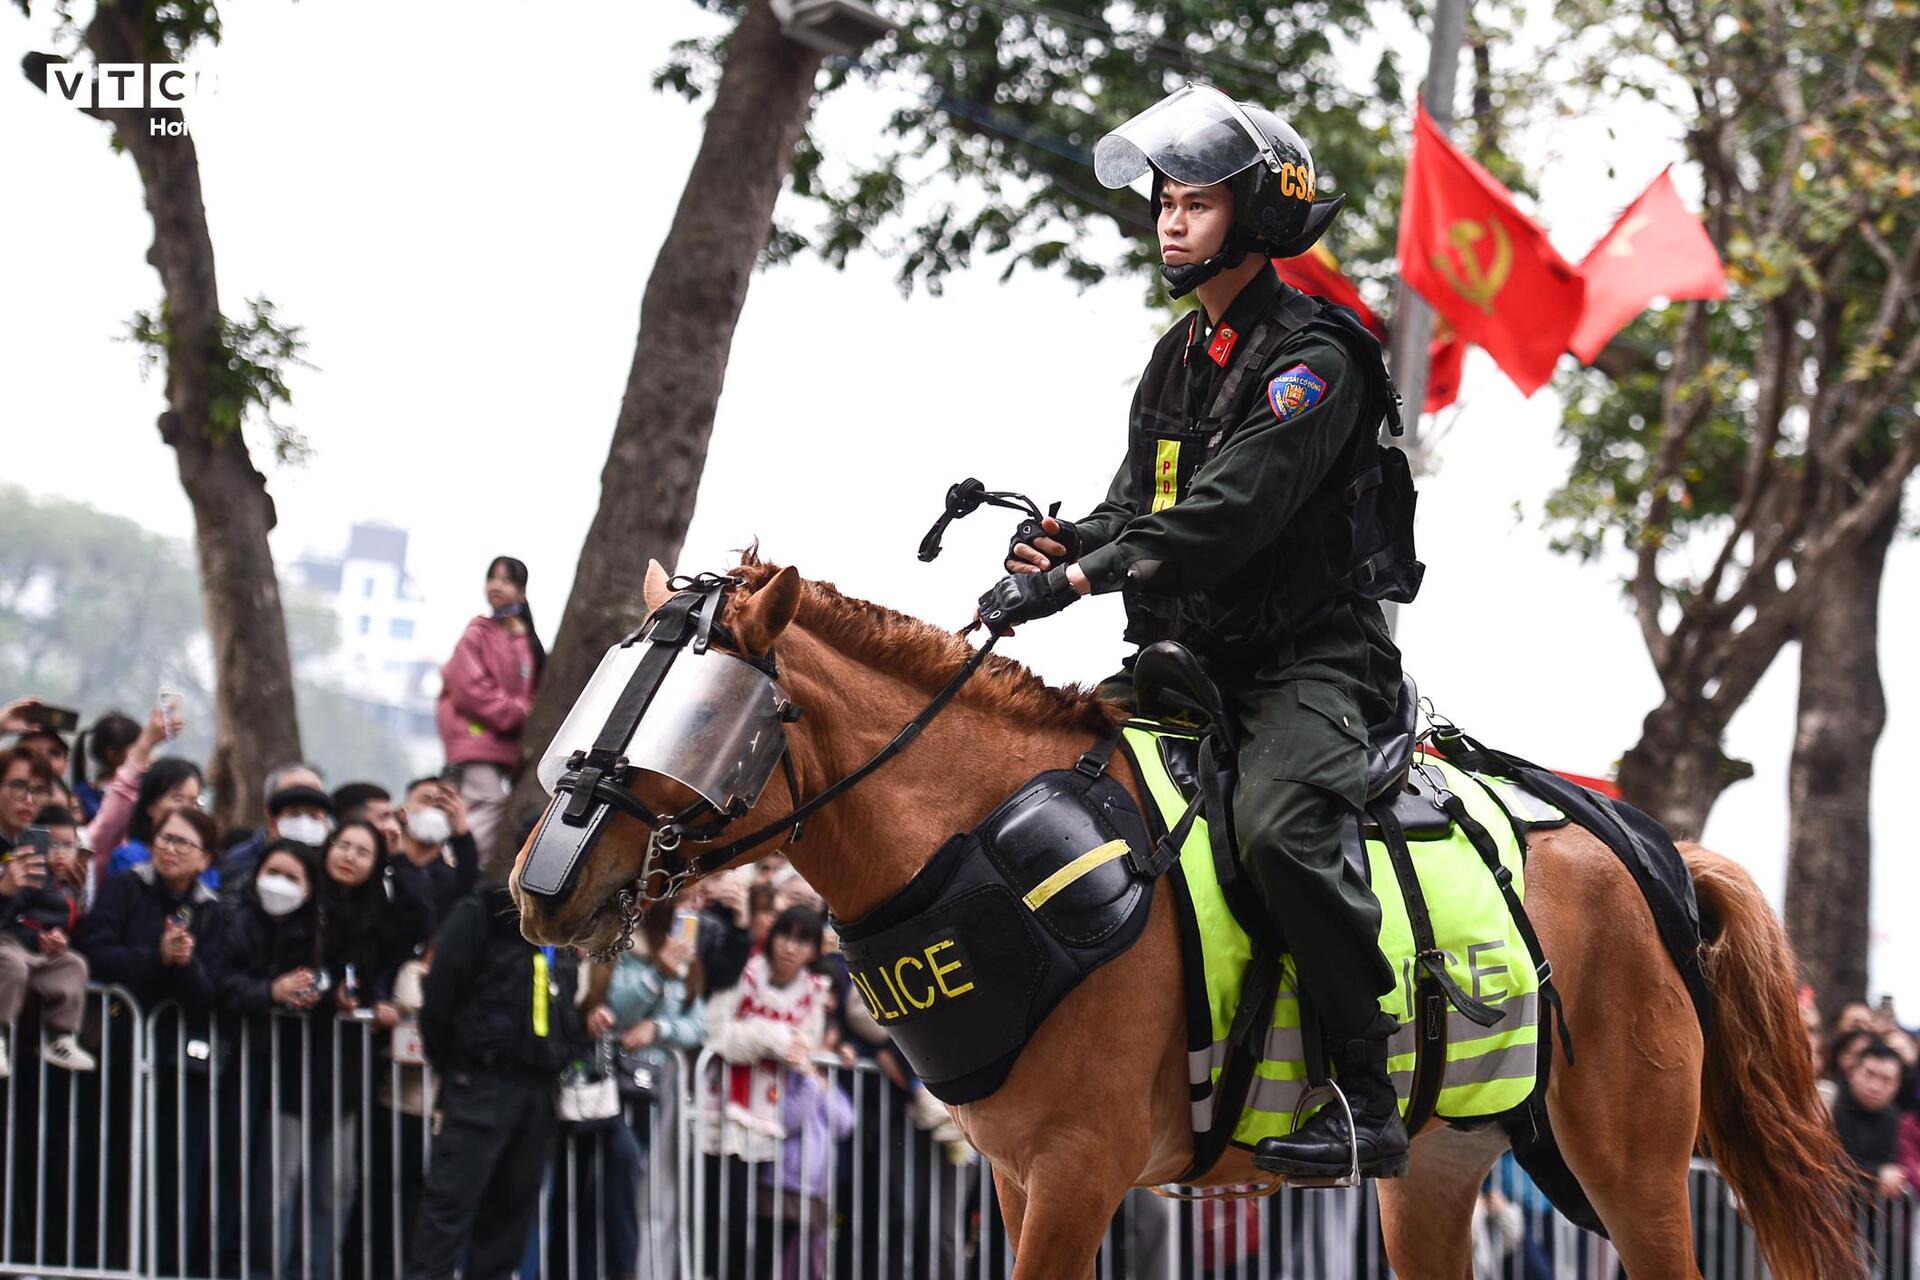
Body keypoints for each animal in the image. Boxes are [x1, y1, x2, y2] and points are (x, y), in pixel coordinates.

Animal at [510, 560, 1858, 1280]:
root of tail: (1650, 846)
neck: (980, 840)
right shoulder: (1014, 1174)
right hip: (1435, 1172)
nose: (542, 883)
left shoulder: (1079, 1169)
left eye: (692, 716)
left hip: (1631, 1165)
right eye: (610, 685)